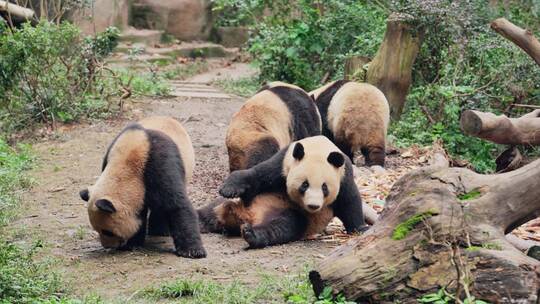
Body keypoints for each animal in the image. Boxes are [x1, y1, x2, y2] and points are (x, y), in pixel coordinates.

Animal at [78, 116, 207, 258]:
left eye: (108, 232)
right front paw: (132, 243)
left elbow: (177, 204)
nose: (108, 246)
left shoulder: (160, 163)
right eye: (98, 230)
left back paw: (160, 231)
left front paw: (192, 251)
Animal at [200, 137, 370, 248]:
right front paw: (229, 188)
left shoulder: (343, 175)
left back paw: (252, 235)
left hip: (290, 214)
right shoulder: (283, 162)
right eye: (304, 185)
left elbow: (349, 202)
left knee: (284, 225)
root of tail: (247, 217)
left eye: (324, 188)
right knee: (208, 211)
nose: (313, 206)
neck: (319, 149)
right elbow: (258, 174)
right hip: (228, 206)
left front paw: (361, 229)